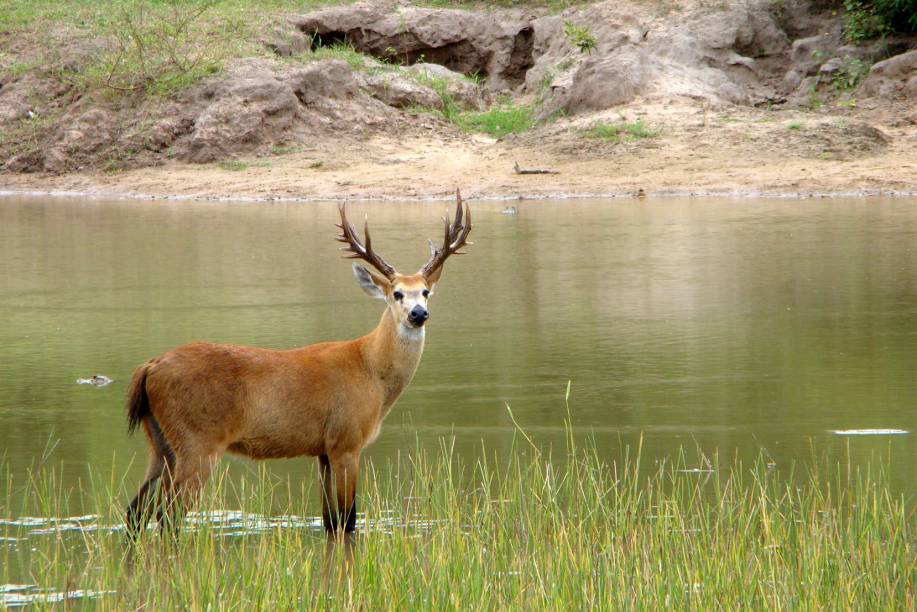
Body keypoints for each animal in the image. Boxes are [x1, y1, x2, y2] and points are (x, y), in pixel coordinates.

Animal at [123, 191, 472, 536]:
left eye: (425, 292)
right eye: (397, 293)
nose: (419, 313)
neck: (371, 371)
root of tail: (149, 367)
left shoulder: (322, 450)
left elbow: (331, 522)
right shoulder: (346, 440)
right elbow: (349, 520)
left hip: (161, 443)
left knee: (135, 512)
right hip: (197, 441)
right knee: (167, 517)